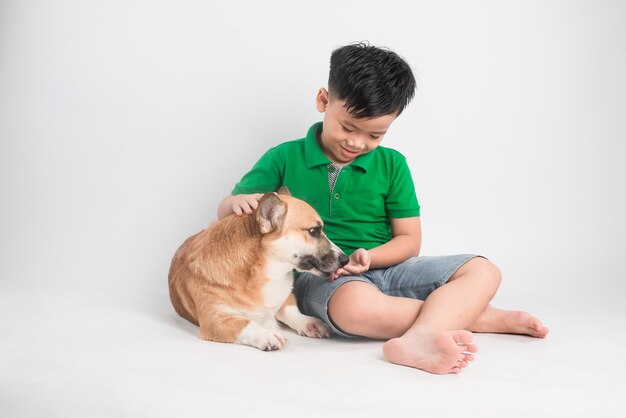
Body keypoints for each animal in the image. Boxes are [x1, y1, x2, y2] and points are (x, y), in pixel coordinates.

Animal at [168, 189, 348, 350]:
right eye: (314, 231)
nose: (346, 260)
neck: (266, 271)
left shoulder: (284, 298)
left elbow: (291, 311)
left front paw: (309, 323)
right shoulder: (215, 320)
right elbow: (248, 324)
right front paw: (268, 335)